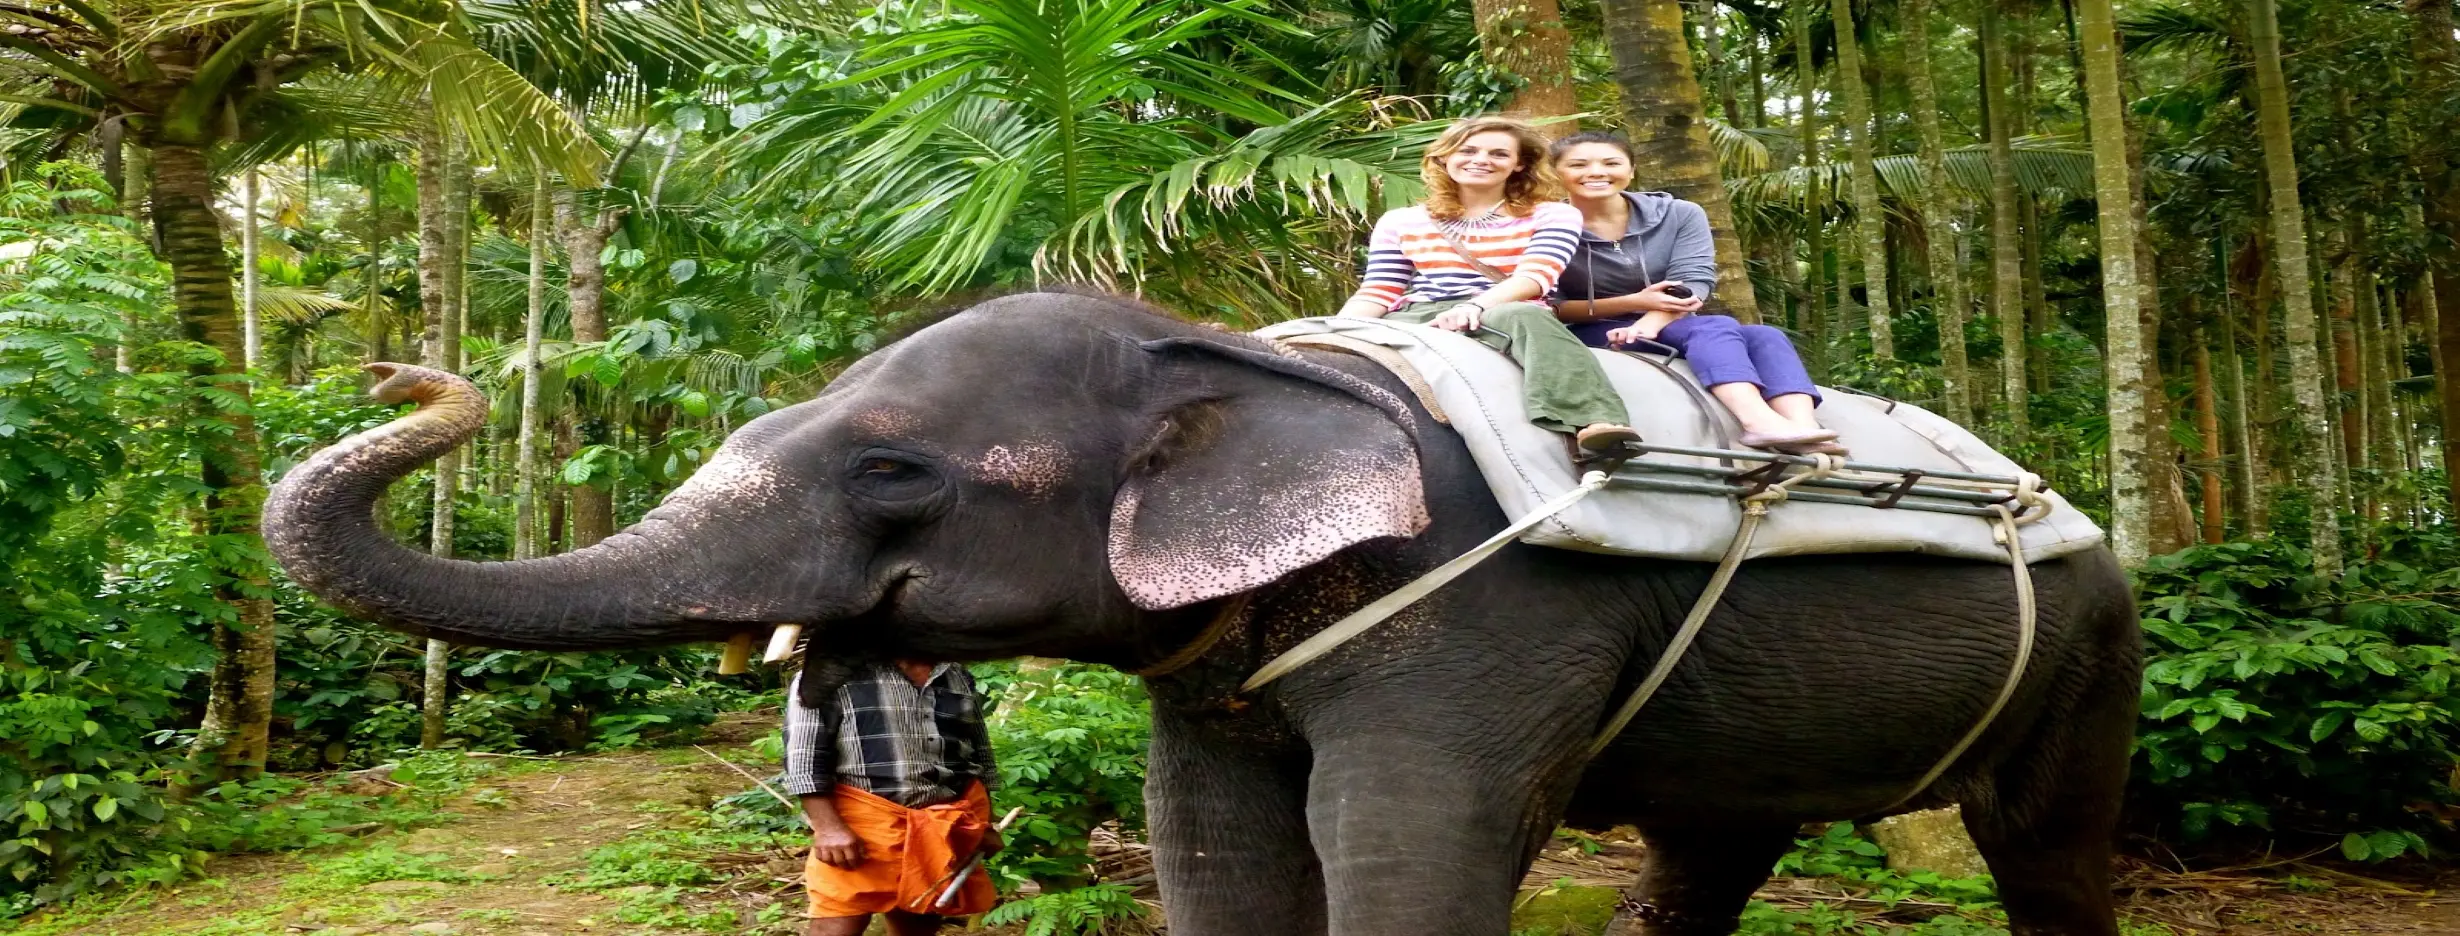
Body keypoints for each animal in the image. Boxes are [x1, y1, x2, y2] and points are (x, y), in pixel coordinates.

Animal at [264, 291, 2140, 936]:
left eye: (891, 473)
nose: (407, 370)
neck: (1234, 351)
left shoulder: (1493, 617)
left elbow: (1411, 851)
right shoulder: (1215, 663)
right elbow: (1212, 847)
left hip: (2096, 642)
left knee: (2046, 854)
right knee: (1711, 849)